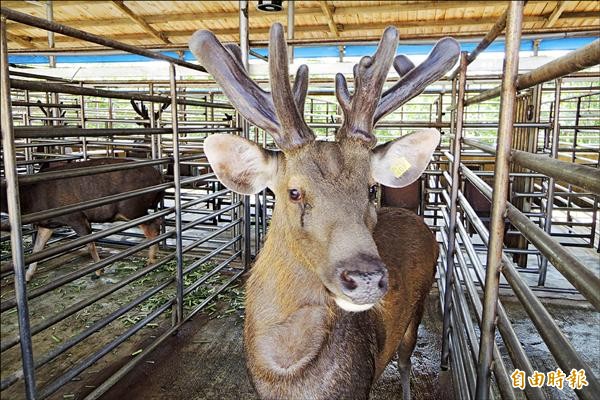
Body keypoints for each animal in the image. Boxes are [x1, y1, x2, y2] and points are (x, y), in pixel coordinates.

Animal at [0, 157, 164, 282]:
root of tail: (159, 176)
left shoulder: (76, 217)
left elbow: (89, 243)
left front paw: (97, 272)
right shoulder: (47, 224)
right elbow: (37, 249)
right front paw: (27, 277)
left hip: (132, 208)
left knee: (153, 226)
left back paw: (150, 260)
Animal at [190, 24, 458, 400]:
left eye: (371, 188)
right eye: (294, 192)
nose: (365, 277)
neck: (289, 376)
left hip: (418, 307)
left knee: (406, 360)